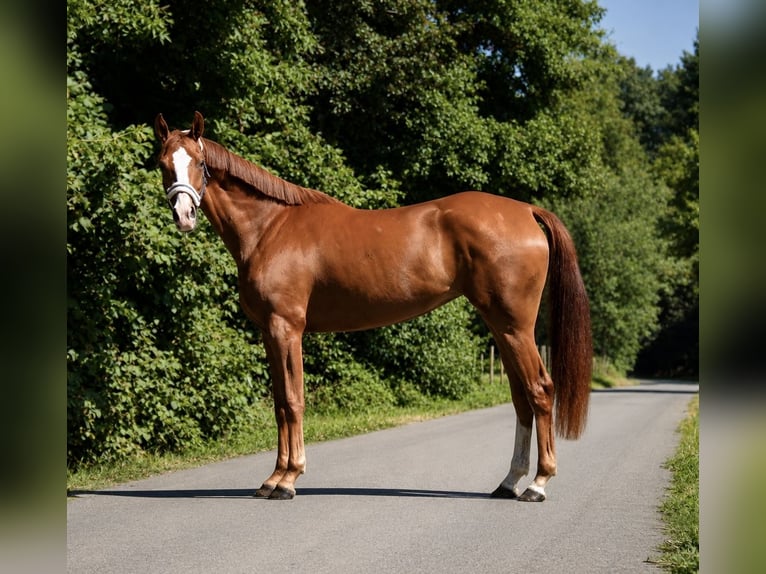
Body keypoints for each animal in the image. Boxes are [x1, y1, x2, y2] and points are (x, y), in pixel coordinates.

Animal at [154, 111, 592, 502]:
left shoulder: (286, 328)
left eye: (199, 163)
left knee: (540, 390)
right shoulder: (268, 332)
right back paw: (509, 482)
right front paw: (273, 478)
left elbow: (293, 401)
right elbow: (280, 403)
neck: (270, 228)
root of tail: (526, 210)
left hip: (515, 327)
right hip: (501, 326)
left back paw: (537, 484)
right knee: (521, 398)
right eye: (163, 163)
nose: (184, 215)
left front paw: (288, 479)